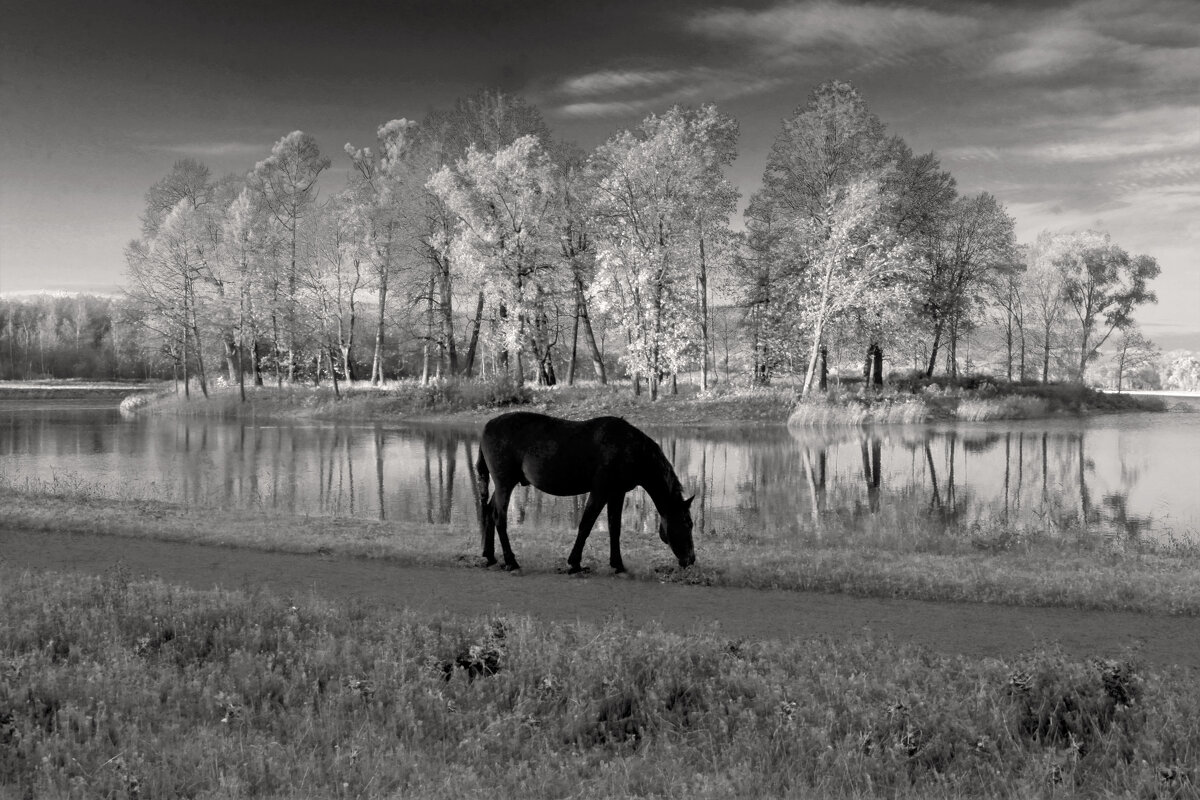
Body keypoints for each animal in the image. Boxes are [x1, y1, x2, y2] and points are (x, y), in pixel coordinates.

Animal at [475, 412, 700, 575]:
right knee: (499, 517)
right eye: (687, 523)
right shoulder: (600, 491)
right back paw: (511, 561)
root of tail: (486, 426)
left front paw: (618, 564)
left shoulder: (616, 493)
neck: (629, 448)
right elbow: (586, 525)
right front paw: (574, 563)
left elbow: (614, 528)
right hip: (505, 483)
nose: (691, 560)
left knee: (489, 512)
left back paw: (490, 556)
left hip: (503, 485)